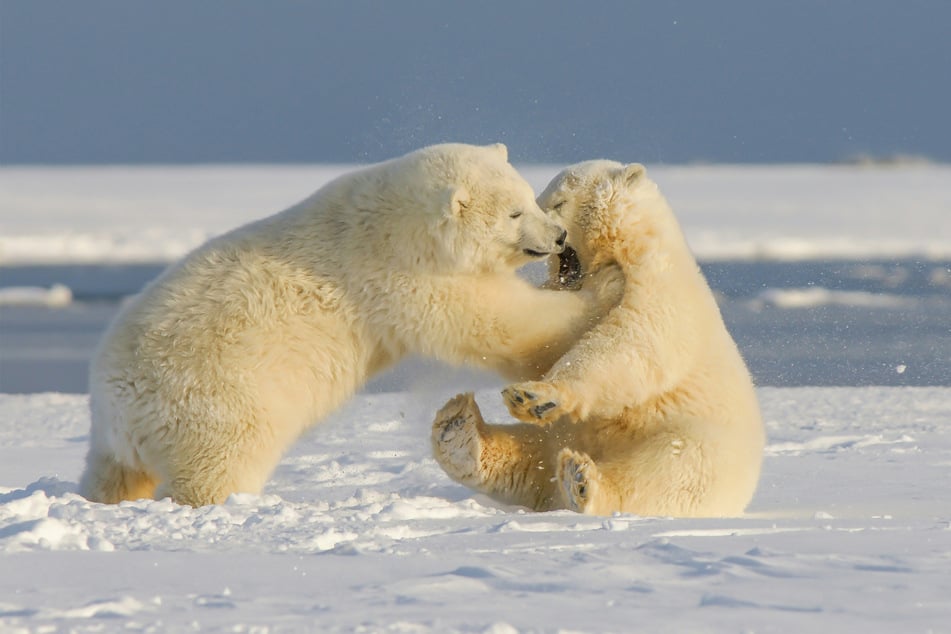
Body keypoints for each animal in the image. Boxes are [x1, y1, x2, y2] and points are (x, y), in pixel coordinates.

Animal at [82, 142, 620, 504]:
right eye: (513, 212)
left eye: (531, 197)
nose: (558, 235)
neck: (393, 224)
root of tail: (117, 401)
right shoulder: (399, 276)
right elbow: (498, 321)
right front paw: (609, 286)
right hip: (218, 401)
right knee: (218, 466)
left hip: (124, 437)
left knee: (113, 473)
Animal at [434, 160, 768, 516]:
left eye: (558, 202)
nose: (548, 235)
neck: (631, 248)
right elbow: (542, 340)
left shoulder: (660, 288)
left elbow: (630, 343)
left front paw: (535, 395)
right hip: (560, 436)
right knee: (530, 456)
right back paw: (458, 430)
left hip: (693, 441)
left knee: (667, 472)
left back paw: (581, 482)